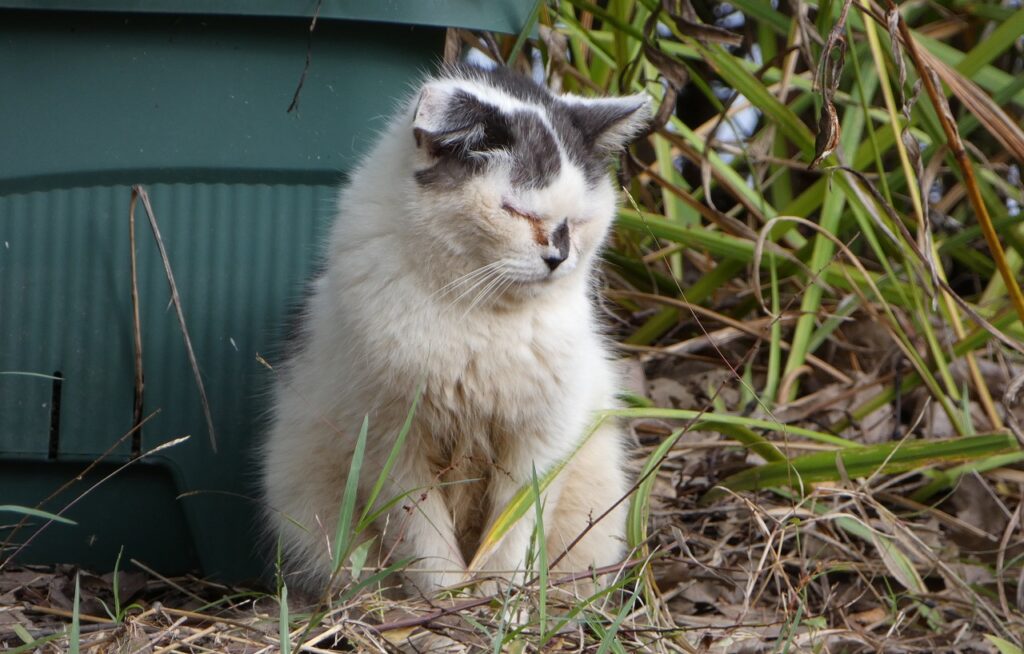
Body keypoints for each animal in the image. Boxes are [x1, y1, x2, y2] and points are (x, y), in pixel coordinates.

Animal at [261, 63, 651, 597]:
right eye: (516, 211)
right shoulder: (389, 445)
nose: (559, 257)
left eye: (579, 221)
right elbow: (423, 538)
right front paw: (445, 602)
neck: (482, 321)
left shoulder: (541, 440)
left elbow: (511, 534)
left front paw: (499, 603)